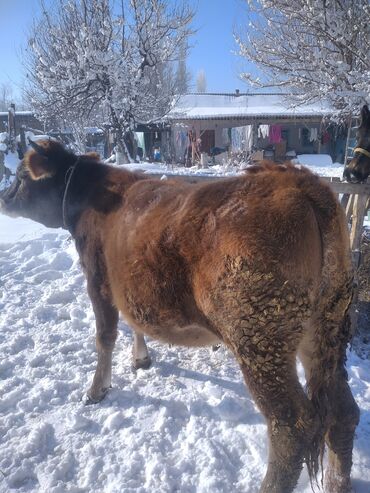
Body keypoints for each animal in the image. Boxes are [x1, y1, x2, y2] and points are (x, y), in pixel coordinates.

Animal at [0, 139, 358, 492]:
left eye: (20, 175)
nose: (4, 198)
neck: (93, 197)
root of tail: (298, 181)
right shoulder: (130, 286)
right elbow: (135, 321)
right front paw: (141, 358)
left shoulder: (98, 281)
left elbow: (104, 337)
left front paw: (96, 390)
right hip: (326, 324)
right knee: (343, 413)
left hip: (259, 337)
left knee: (292, 427)